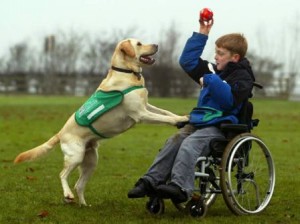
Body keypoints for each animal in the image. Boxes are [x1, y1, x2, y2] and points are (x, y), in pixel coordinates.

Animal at [14, 38, 189, 206]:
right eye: (139, 44)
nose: (156, 45)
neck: (127, 73)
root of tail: (60, 133)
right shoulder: (141, 114)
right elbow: (165, 118)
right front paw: (181, 120)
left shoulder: (146, 106)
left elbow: (166, 112)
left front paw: (182, 117)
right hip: (76, 156)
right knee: (62, 175)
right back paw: (67, 195)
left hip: (91, 162)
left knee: (79, 185)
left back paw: (84, 205)